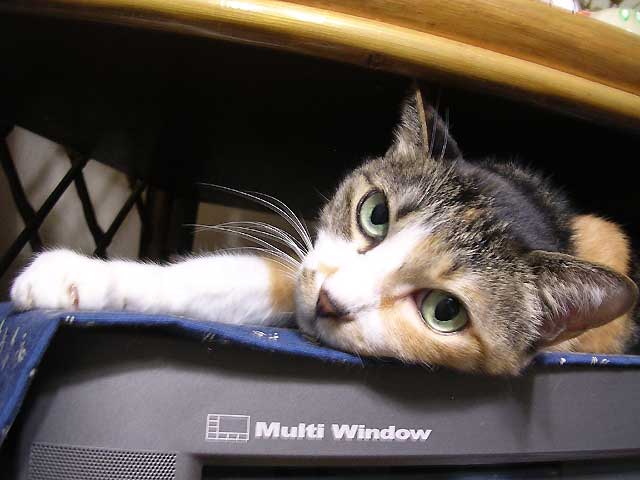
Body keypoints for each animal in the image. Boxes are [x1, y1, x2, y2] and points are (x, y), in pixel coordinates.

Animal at [10, 87, 639, 375]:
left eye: (445, 312)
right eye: (375, 213)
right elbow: (236, 277)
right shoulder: (307, 269)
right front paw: (76, 279)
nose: (330, 302)